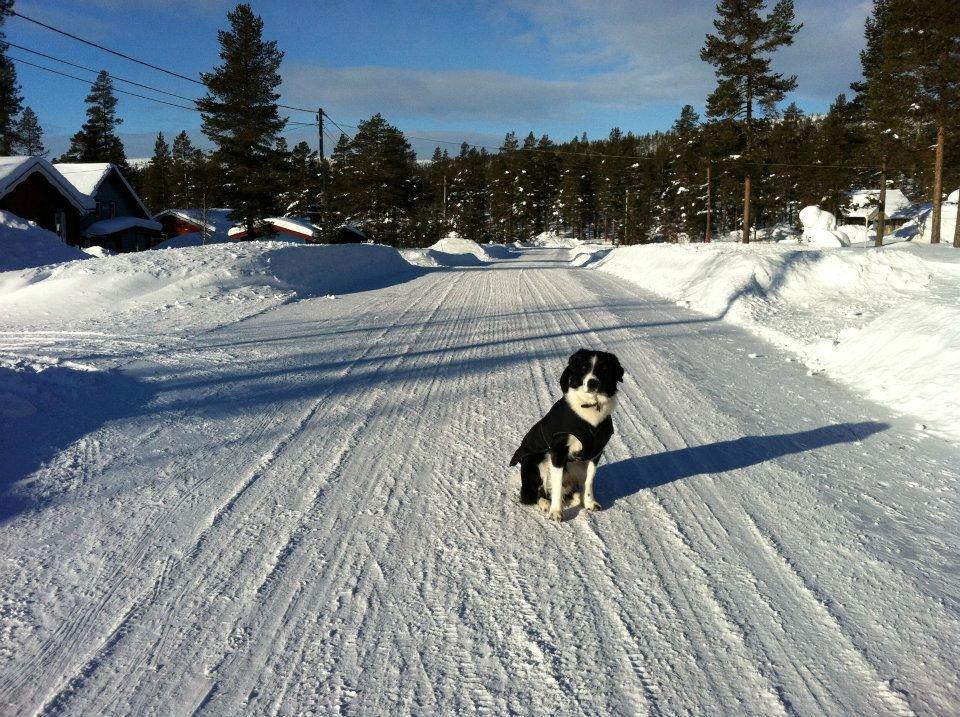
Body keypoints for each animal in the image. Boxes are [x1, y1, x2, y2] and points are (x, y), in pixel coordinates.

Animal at [510, 352, 624, 524]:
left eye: (604, 368)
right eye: (584, 368)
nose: (592, 382)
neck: (590, 405)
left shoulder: (595, 453)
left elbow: (589, 480)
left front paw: (589, 502)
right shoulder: (558, 452)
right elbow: (556, 486)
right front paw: (556, 512)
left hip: (576, 466)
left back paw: (579, 497)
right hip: (535, 460)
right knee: (532, 494)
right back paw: (545, 503)